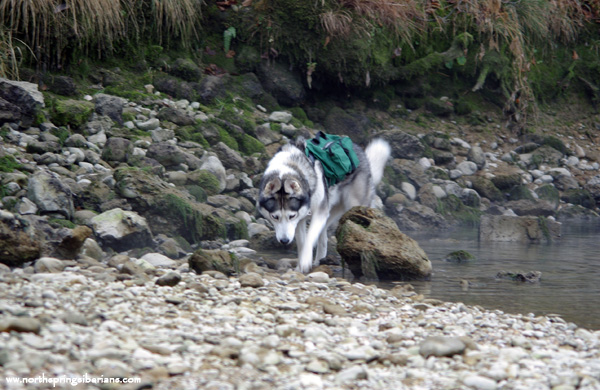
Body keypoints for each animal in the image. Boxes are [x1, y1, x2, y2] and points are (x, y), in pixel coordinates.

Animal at [255, 136, 392, 272]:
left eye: (291, 216)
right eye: (274, 217)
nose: (284, 240)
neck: (291, 166)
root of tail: (360, 151)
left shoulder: (317, 213)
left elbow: (309, 238)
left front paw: (305, 261)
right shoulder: (300, 219)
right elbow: (302, 242)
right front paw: (301, 265)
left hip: (352, 206)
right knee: (323, 236)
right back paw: (320, 260)